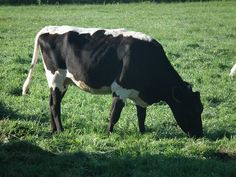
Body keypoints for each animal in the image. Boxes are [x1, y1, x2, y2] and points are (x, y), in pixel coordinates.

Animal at [21, 25, 203, 138]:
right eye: (190, 110)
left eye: (200, 109)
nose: (200, 135)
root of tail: (49, 29)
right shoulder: (120, 89)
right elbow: (114, 114)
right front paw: (109, 134)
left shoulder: (137, 94)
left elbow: (141, 115)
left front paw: (143, 133)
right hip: (56, 78)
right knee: (55, 105)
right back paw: (60, 130)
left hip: (61, 82)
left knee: (51, 103)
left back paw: (53, 130)